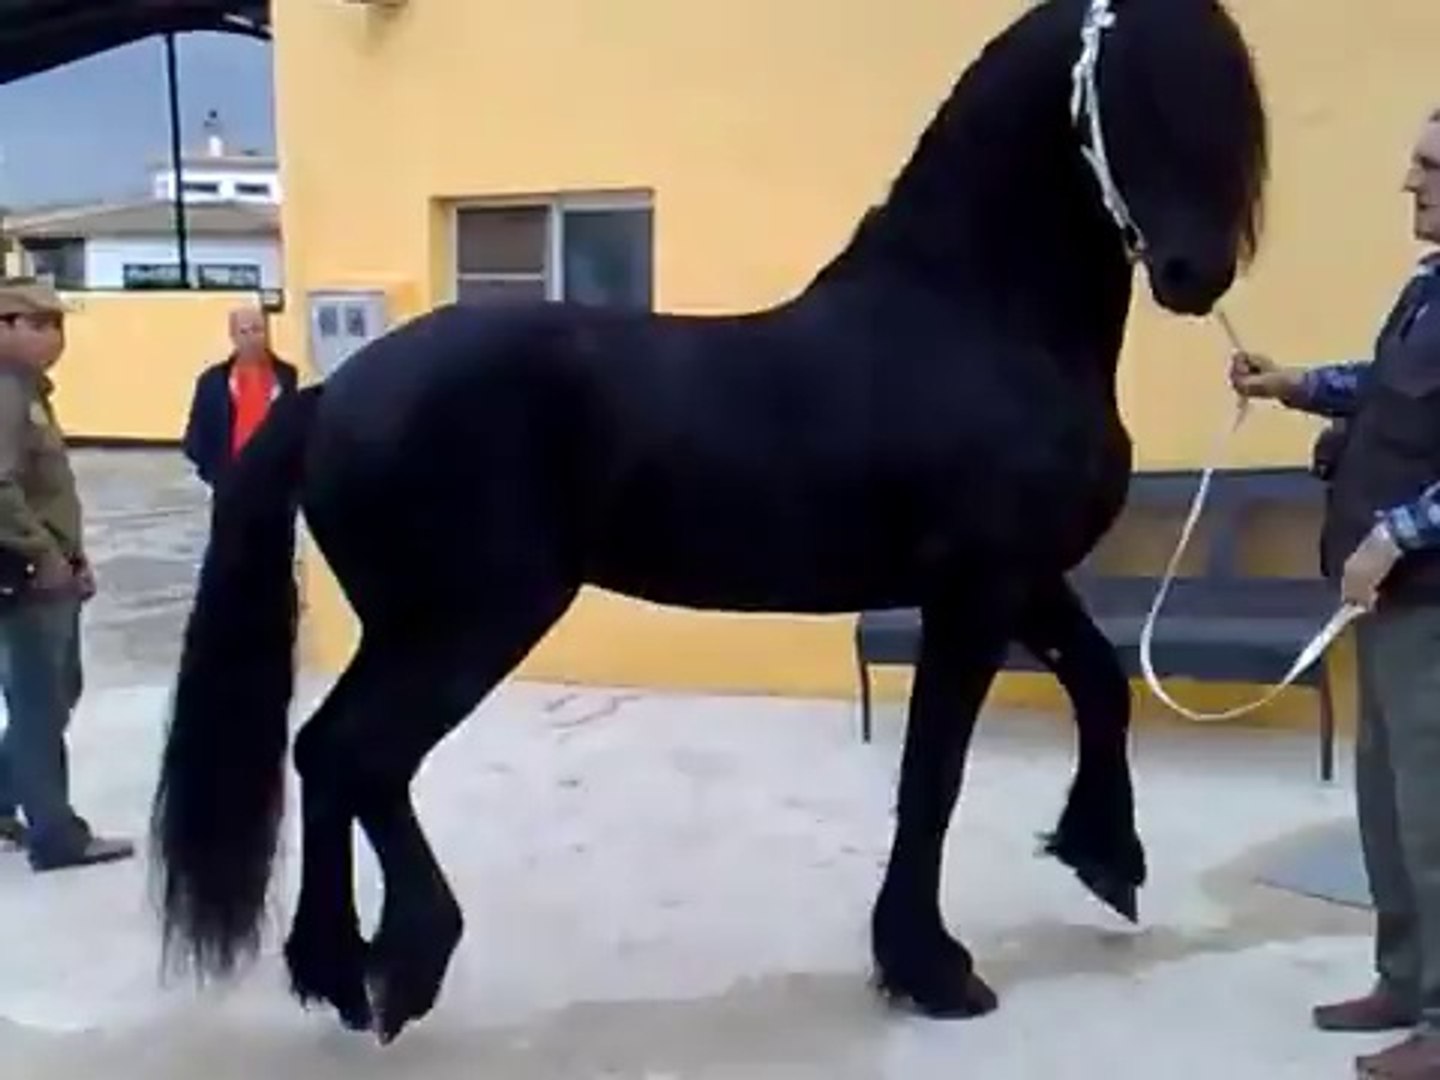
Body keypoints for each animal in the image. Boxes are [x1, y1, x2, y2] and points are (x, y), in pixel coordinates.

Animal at [149, 0, 1268, 1045]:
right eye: (1124, 91)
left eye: (1222, 93)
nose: (1193, 272)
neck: (973, 318)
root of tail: (332, 395)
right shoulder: (974, 592)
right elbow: (935, 776)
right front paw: (933, 969)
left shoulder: (1022, 579)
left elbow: (1100, 684)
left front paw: (1105, 859)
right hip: (471, 621)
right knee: (358, 757)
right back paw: (401, 966)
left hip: (414, 627)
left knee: (325, 755)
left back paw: (342, 974)